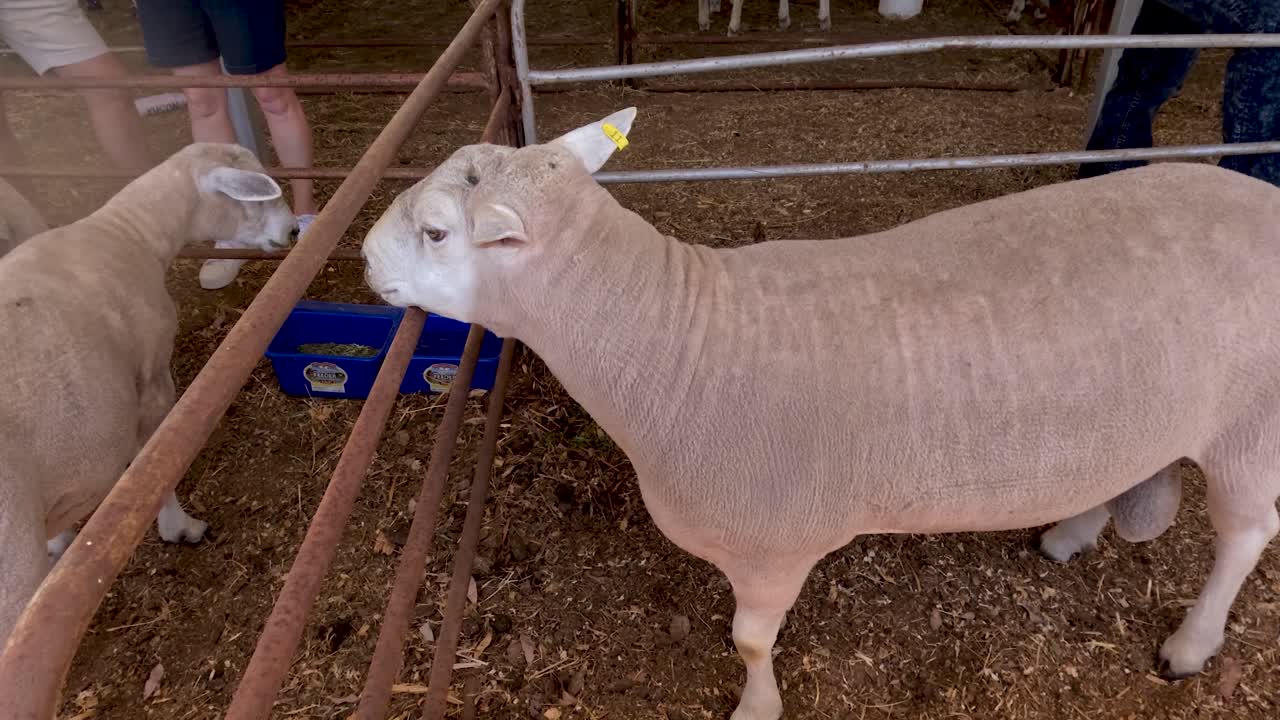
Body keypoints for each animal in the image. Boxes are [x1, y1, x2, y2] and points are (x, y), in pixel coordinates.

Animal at [0, 142, 297, 647]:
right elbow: (154, 463)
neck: (128, 231)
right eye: (257, 194)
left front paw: (60, 544)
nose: (294, 230)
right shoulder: (154, 378)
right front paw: (179, 528)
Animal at [361, 107, 1280, 719]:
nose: (365, 259)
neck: (674, 333)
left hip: (1252, 426)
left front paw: (755, 708)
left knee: (1244, 535)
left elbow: (749, 642)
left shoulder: (775, 543)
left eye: (437, 233)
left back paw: (1190, 645)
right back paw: (1071, 531)